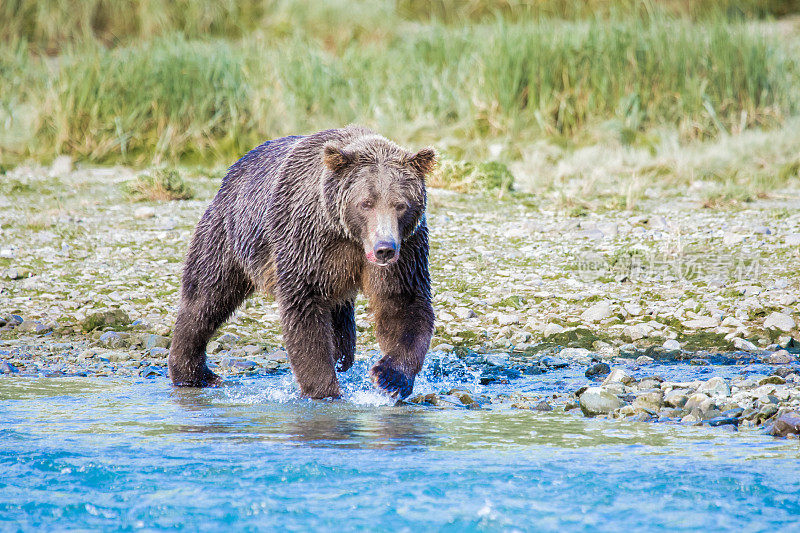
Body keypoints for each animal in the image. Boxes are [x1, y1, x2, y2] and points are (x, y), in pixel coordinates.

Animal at [165, 125, 434, 400]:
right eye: (365, 203)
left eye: (401, 204)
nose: (384, 249)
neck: (349, 235)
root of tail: (234, 169)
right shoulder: (307, 241)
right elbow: (304, 308)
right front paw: (324, 390)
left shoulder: (406, 250)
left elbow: (403, 303)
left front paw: (390, 378)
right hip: (229, 234)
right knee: (207, 294)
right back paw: (194, 373)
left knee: (342, 326)